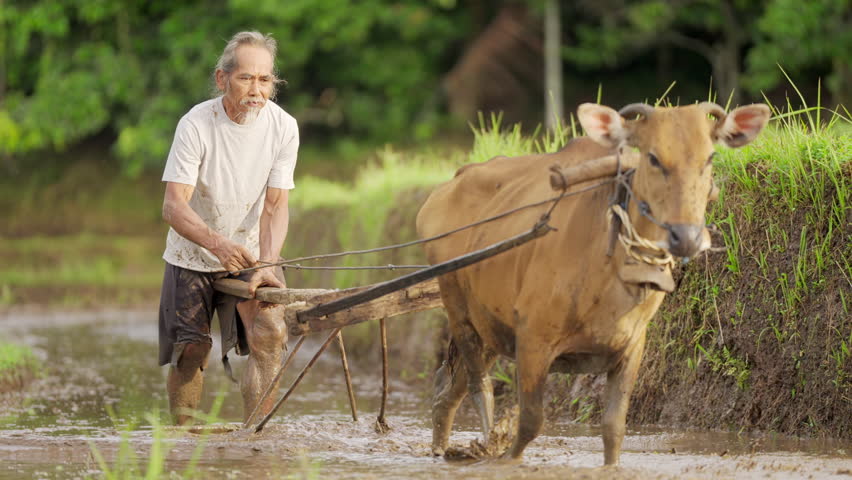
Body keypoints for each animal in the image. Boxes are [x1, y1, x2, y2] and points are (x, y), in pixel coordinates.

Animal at [415, 101, 770, 465]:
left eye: (709, 157)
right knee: (478, 386)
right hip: (458, 310)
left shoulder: (631, 347)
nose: (686, 237)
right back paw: (482, 443)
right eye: (653, 157)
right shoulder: (532, 338)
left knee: (447, 391)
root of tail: (448, 186)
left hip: (488, 325)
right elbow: (530, 423)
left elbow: (613, 429)